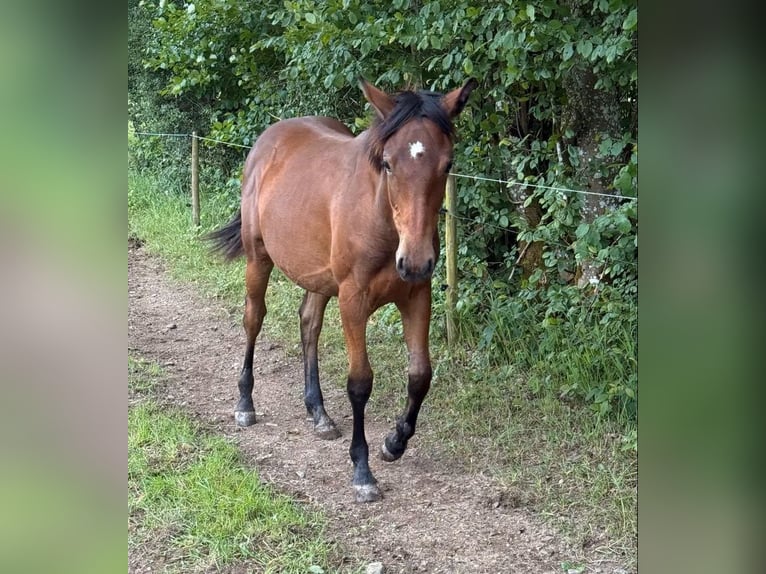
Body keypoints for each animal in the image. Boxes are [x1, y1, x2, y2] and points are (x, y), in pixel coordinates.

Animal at [207, 77, 476, 502]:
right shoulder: (353, 301)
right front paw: (362, 471)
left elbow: (420, 375)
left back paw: (318, 413)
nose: (416, 262)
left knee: (309, 325)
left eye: (446, 164)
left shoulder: (417, 297)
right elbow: (360, 382)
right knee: (253, 320)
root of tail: (268, 140)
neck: (380, 220)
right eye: (388, 163)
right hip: (259, 259)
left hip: (318, 277)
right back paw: (245, 403)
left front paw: (394, 442)